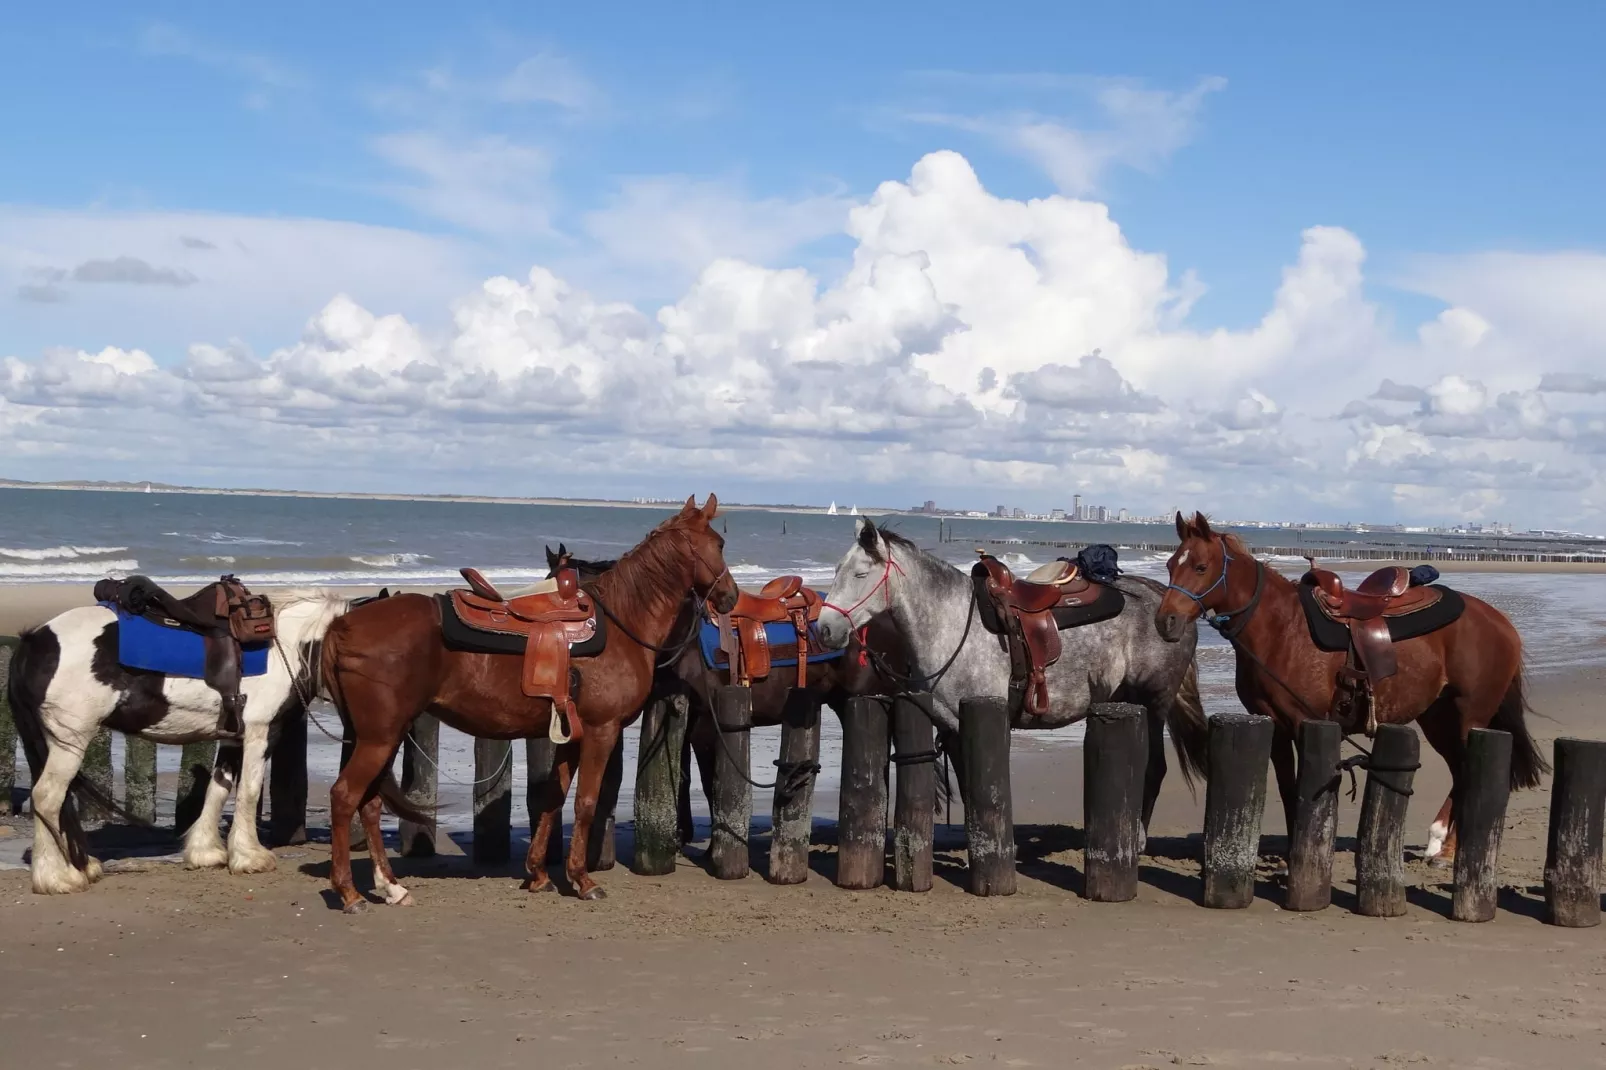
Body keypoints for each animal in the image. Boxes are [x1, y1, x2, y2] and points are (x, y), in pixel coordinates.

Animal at [8, 591, 348, 893]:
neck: (285, 647)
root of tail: (34, 641)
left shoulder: (233, 738)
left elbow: (218, 788)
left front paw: (206, 852)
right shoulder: (260, 732)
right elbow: (248, 793)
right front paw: (250, 857)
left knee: (57, 800)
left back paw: (77, 867)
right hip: (71, 739)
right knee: (47, 797)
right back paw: (57, 878)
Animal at [314, 494, 738, 906]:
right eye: (719, 544)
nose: (730, 596)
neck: (622, 624)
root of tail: (344, 624)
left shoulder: (573, 734)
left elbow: (554, 797)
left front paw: (538, 874)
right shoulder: (601, 731)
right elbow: (585, 802)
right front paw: (582, 879)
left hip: (383, 736)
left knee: (369, 803)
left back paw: (391, 887)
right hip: (379, 737)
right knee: (344, 797)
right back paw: (349, 892)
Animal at [815, 514, 1207, 819]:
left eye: (860, 574)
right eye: (835, 570)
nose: (824, 629)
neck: (951, 624)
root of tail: (1170, 604)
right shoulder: (952, 728)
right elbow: (969, 789)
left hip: (1154, 701)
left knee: (1154, 769)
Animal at [1156, 507, 1541, 861]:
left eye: (1201, 567)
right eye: (1171, 564)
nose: (1166, 621)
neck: (1282, 628)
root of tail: (1501, 622)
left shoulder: (1305, 722)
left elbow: (1306, 788)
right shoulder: (1275, 727)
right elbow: (1287, 789)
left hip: (1470, 716)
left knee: (1469, 772)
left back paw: (1443, 847)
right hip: (1438, 718)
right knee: (1460, 770)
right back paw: (1441, 844)